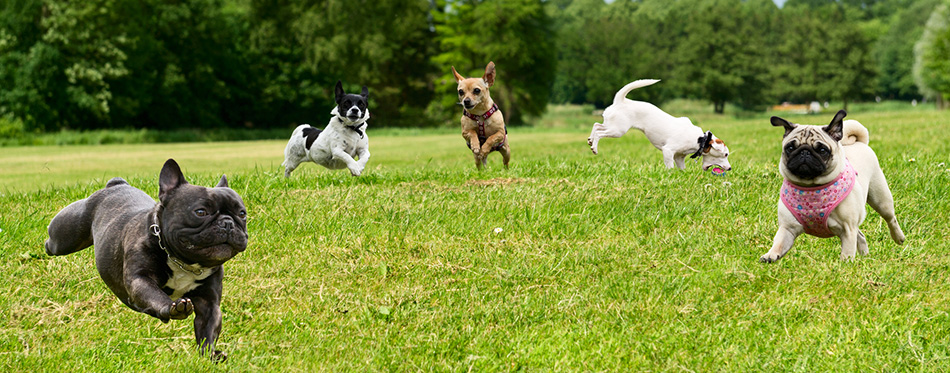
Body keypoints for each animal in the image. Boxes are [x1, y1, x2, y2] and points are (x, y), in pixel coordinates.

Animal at [46, 159, 247, 360]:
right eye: (201, 212)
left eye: (242, 214)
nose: (228, 223)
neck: (184, 263)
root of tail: (116, 184)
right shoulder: (140, 280)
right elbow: (156, 296)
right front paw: (172, 307)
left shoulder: (209, 304)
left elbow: (208, 330)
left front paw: (210, 355)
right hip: (66, 236)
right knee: (54, 242)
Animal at [760, 110, 908, 262]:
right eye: (790, 148)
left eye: (822, 150)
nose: (804, 152)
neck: (811, 186)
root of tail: (859, 143)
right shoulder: (787, 228)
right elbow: (779, 243)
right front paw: (770, 255)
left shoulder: (848, 229)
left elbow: (847, 251)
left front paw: (845, 264)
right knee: (860, 236)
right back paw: (865, 257)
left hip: (881, 200)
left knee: (890, 218)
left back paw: (899, 238)